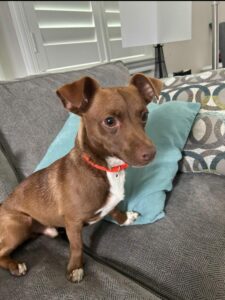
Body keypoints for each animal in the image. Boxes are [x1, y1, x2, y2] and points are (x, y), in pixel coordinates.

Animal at [0, 72, 162, 282]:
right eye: (110, 121)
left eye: (145, 115)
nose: (151, 153)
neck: (106, 169)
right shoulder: (73, 222)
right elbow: (76, 246)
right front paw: (75, 267)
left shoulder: (110, 204)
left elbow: (115, 210)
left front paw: (125, 218)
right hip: (20, 223)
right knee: (1, 253)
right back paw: (15, 265)